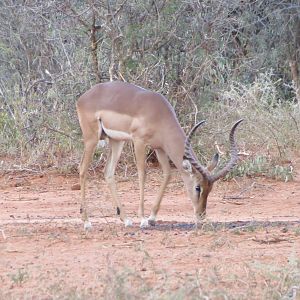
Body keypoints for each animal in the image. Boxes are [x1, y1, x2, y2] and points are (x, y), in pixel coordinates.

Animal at [76, 81, 243, 229]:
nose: (201, 215)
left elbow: (168, 174)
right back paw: (86, 222)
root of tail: (83, 98)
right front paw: (143, 220)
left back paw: (126, 220)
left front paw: (152, 218)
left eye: (210, 189)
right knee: (83, 169)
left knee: (108, 173)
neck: (158, 113)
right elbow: (142, 174)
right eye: (198, 187)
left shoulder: (160, 148)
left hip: (117, 141)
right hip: (92, 138)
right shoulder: (139, 142)